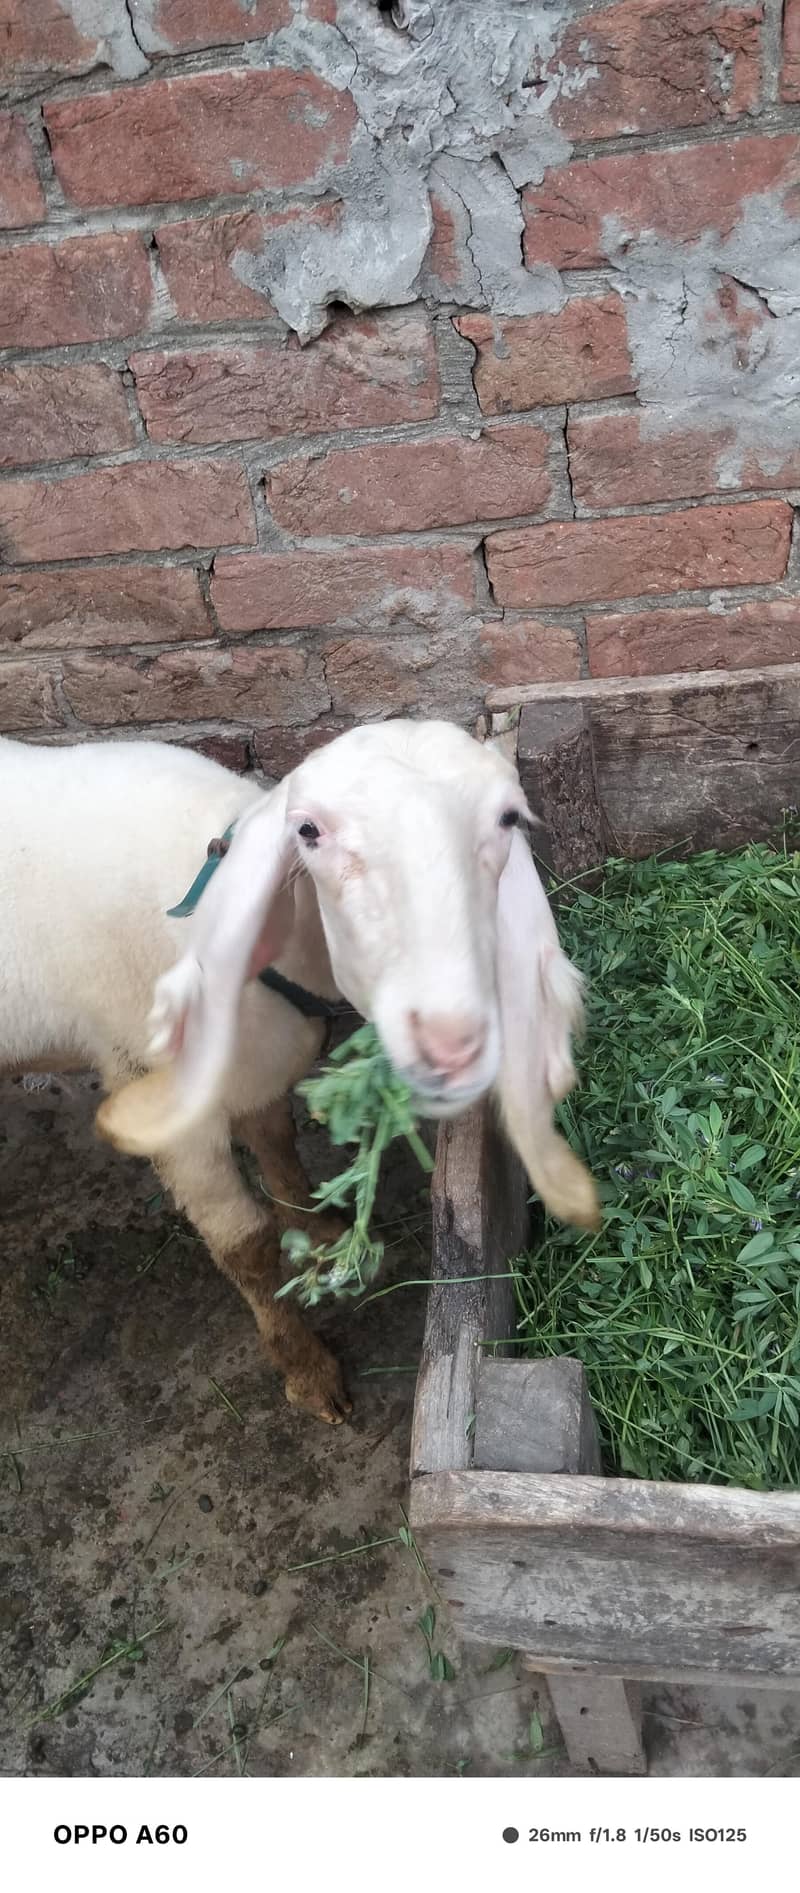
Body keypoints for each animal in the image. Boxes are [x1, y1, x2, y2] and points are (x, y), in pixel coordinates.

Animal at [1, 719, 598, 1425]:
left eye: (508, 817)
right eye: (308, 830)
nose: (450, 1043)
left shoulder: (258, 1065)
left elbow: (279, 1147)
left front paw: (318, 1225)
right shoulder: (165, 1104)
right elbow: (247, 1247)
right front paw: (307, 1371)